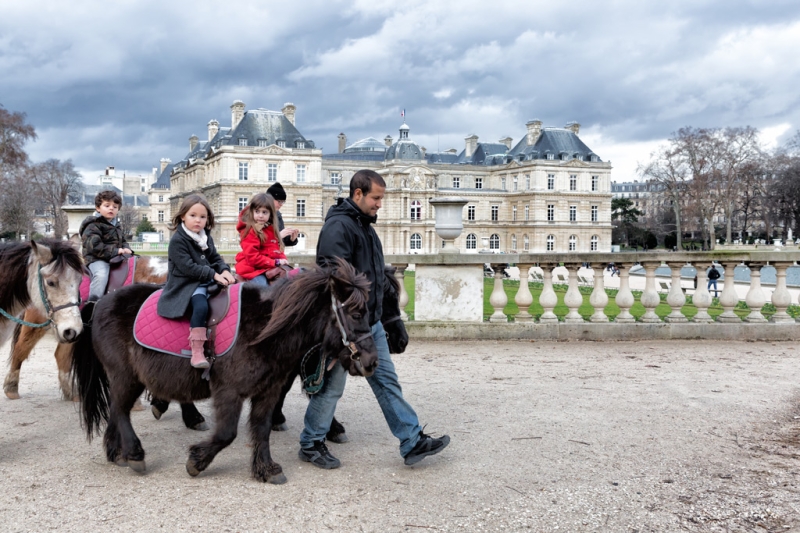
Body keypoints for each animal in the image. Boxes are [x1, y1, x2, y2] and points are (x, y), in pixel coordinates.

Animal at [72, 260, 378, 484]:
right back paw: (134, 454)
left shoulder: (268, 392)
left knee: (116, 409)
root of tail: (99, 304)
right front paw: (196, 461)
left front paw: (266, 469)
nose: (372, 361)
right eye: (356, 314)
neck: (263, 330)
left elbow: (262, 429)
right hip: (125, 375)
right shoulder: (229, 392)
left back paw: (117, 452)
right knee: (120, 409)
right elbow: (227, 433)